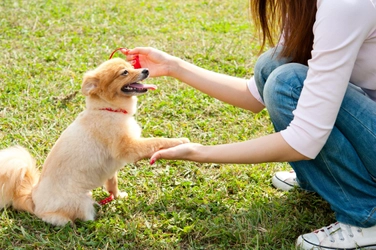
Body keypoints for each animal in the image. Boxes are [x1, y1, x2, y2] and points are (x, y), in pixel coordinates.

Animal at [0, 58, 188, 227]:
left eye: (131, 66)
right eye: (124, 72)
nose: (146, 70)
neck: (109, 109)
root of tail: (32, 198)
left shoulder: (112, 167)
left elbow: (113, 183)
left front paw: (118, 196)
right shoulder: (128, 147)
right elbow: (155, 141)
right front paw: (178, 140)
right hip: (81, 203)